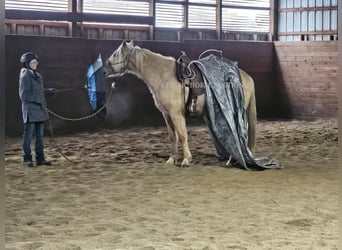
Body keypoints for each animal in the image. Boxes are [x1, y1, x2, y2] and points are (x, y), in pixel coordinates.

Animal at [105, 40, 255, 167]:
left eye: (115, 54)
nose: (105, 69)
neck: (163, 76)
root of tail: (246, 76)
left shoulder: (176, 114)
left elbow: (182, 135)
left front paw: (186, 160)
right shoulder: (166, 114)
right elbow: (173, 136)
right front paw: (172, 159)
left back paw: (232, 159)